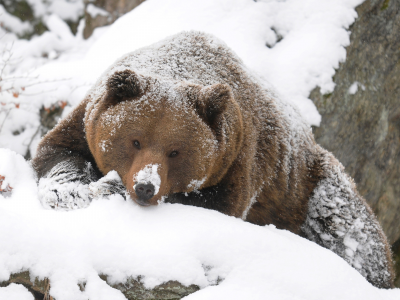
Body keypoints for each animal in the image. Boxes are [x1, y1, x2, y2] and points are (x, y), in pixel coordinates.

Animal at [32, 30, 396, 288]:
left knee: (351, 231)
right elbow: (58, 152)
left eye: (175, 151)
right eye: (135, 140)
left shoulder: (238, 160)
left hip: (307, 187)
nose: (145, 187)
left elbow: (214, 205)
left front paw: (112, 188)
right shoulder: (85, 121)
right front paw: (70, 191)